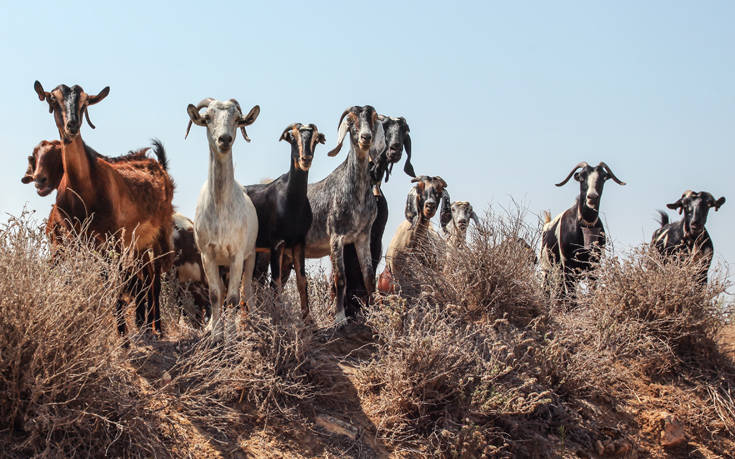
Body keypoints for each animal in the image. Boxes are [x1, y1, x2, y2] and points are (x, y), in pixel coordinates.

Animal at [33, 81, 175, 336]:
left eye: (84, 103)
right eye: (53, 100)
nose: (72, 125)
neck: (84, 187)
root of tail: (157, 163)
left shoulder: (113, 239)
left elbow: (116, 284)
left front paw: (123, 335)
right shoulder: (77, 241)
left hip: (158, 234)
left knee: (154, 279)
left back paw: (156, 327)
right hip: (138, 243)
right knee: (145, 277)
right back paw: (145, 324)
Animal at [185, 98, 260, 342]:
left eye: (236, 118)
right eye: (208, 117)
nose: (224, 139)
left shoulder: (237, 254)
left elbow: (234, 298)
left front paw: (232, 336)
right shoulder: (207, 255)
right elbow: (215, 294)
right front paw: (216, 334)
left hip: (250, 255)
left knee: (246, 289)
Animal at [246, 123, 326, 320]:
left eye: (315, 139)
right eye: (293, 137)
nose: (306, 159)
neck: (292, 201)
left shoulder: (298, 243)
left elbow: (302, 280)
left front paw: (307, 319)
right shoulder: (277, 244)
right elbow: (275, 283)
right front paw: (278, 315)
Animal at [540, 162, 628, 298]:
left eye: (603, 177)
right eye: (582, 177)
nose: (592, 197)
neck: (585, 225)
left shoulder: (594, 264)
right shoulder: (568, 265)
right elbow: (571, 296)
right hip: (547, 270)